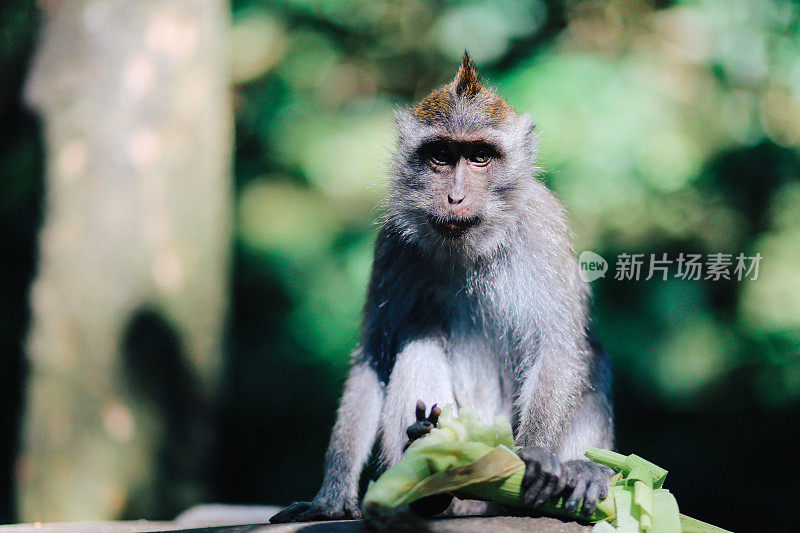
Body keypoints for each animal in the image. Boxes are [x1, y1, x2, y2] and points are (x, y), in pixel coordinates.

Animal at [268, 54, 612, 524]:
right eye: (441, 156)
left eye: (481, 156)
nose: (455, 197)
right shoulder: (393, 246)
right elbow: (374, 355)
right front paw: (331, 500)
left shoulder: (541, 228)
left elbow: (558, 346)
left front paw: (537, 455)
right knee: (419, 340)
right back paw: (428, 473)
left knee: (591, 355)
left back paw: (579, 472)